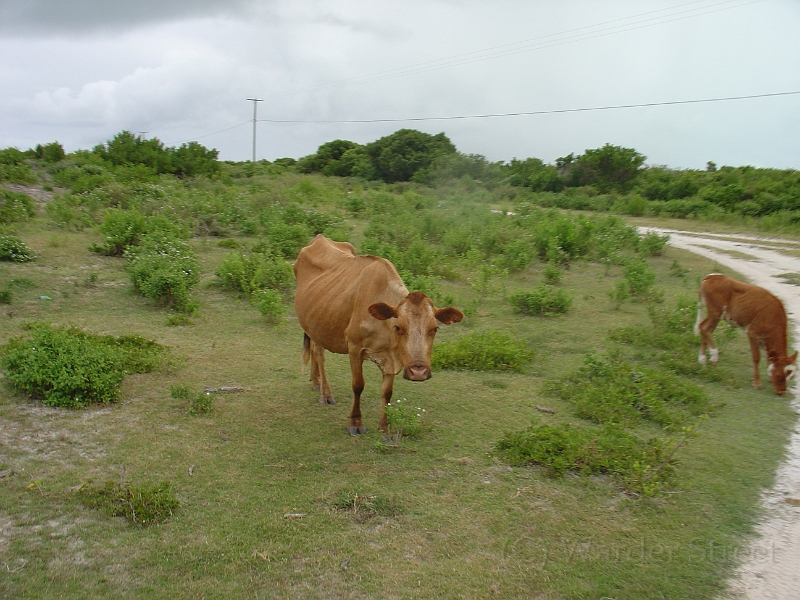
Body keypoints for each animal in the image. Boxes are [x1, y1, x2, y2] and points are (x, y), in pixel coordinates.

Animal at [294, 232, 462, 434]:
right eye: (398, 327)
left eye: (435, 328)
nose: (418, 371)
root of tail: (319, 238)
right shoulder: (354, 347)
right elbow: (358, 385)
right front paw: (355, 423)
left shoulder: (392, 358)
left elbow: (387, 392)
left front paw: (385, 428)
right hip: (313, 326)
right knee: (319, 354)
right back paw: (325, 394)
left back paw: (316, 382)